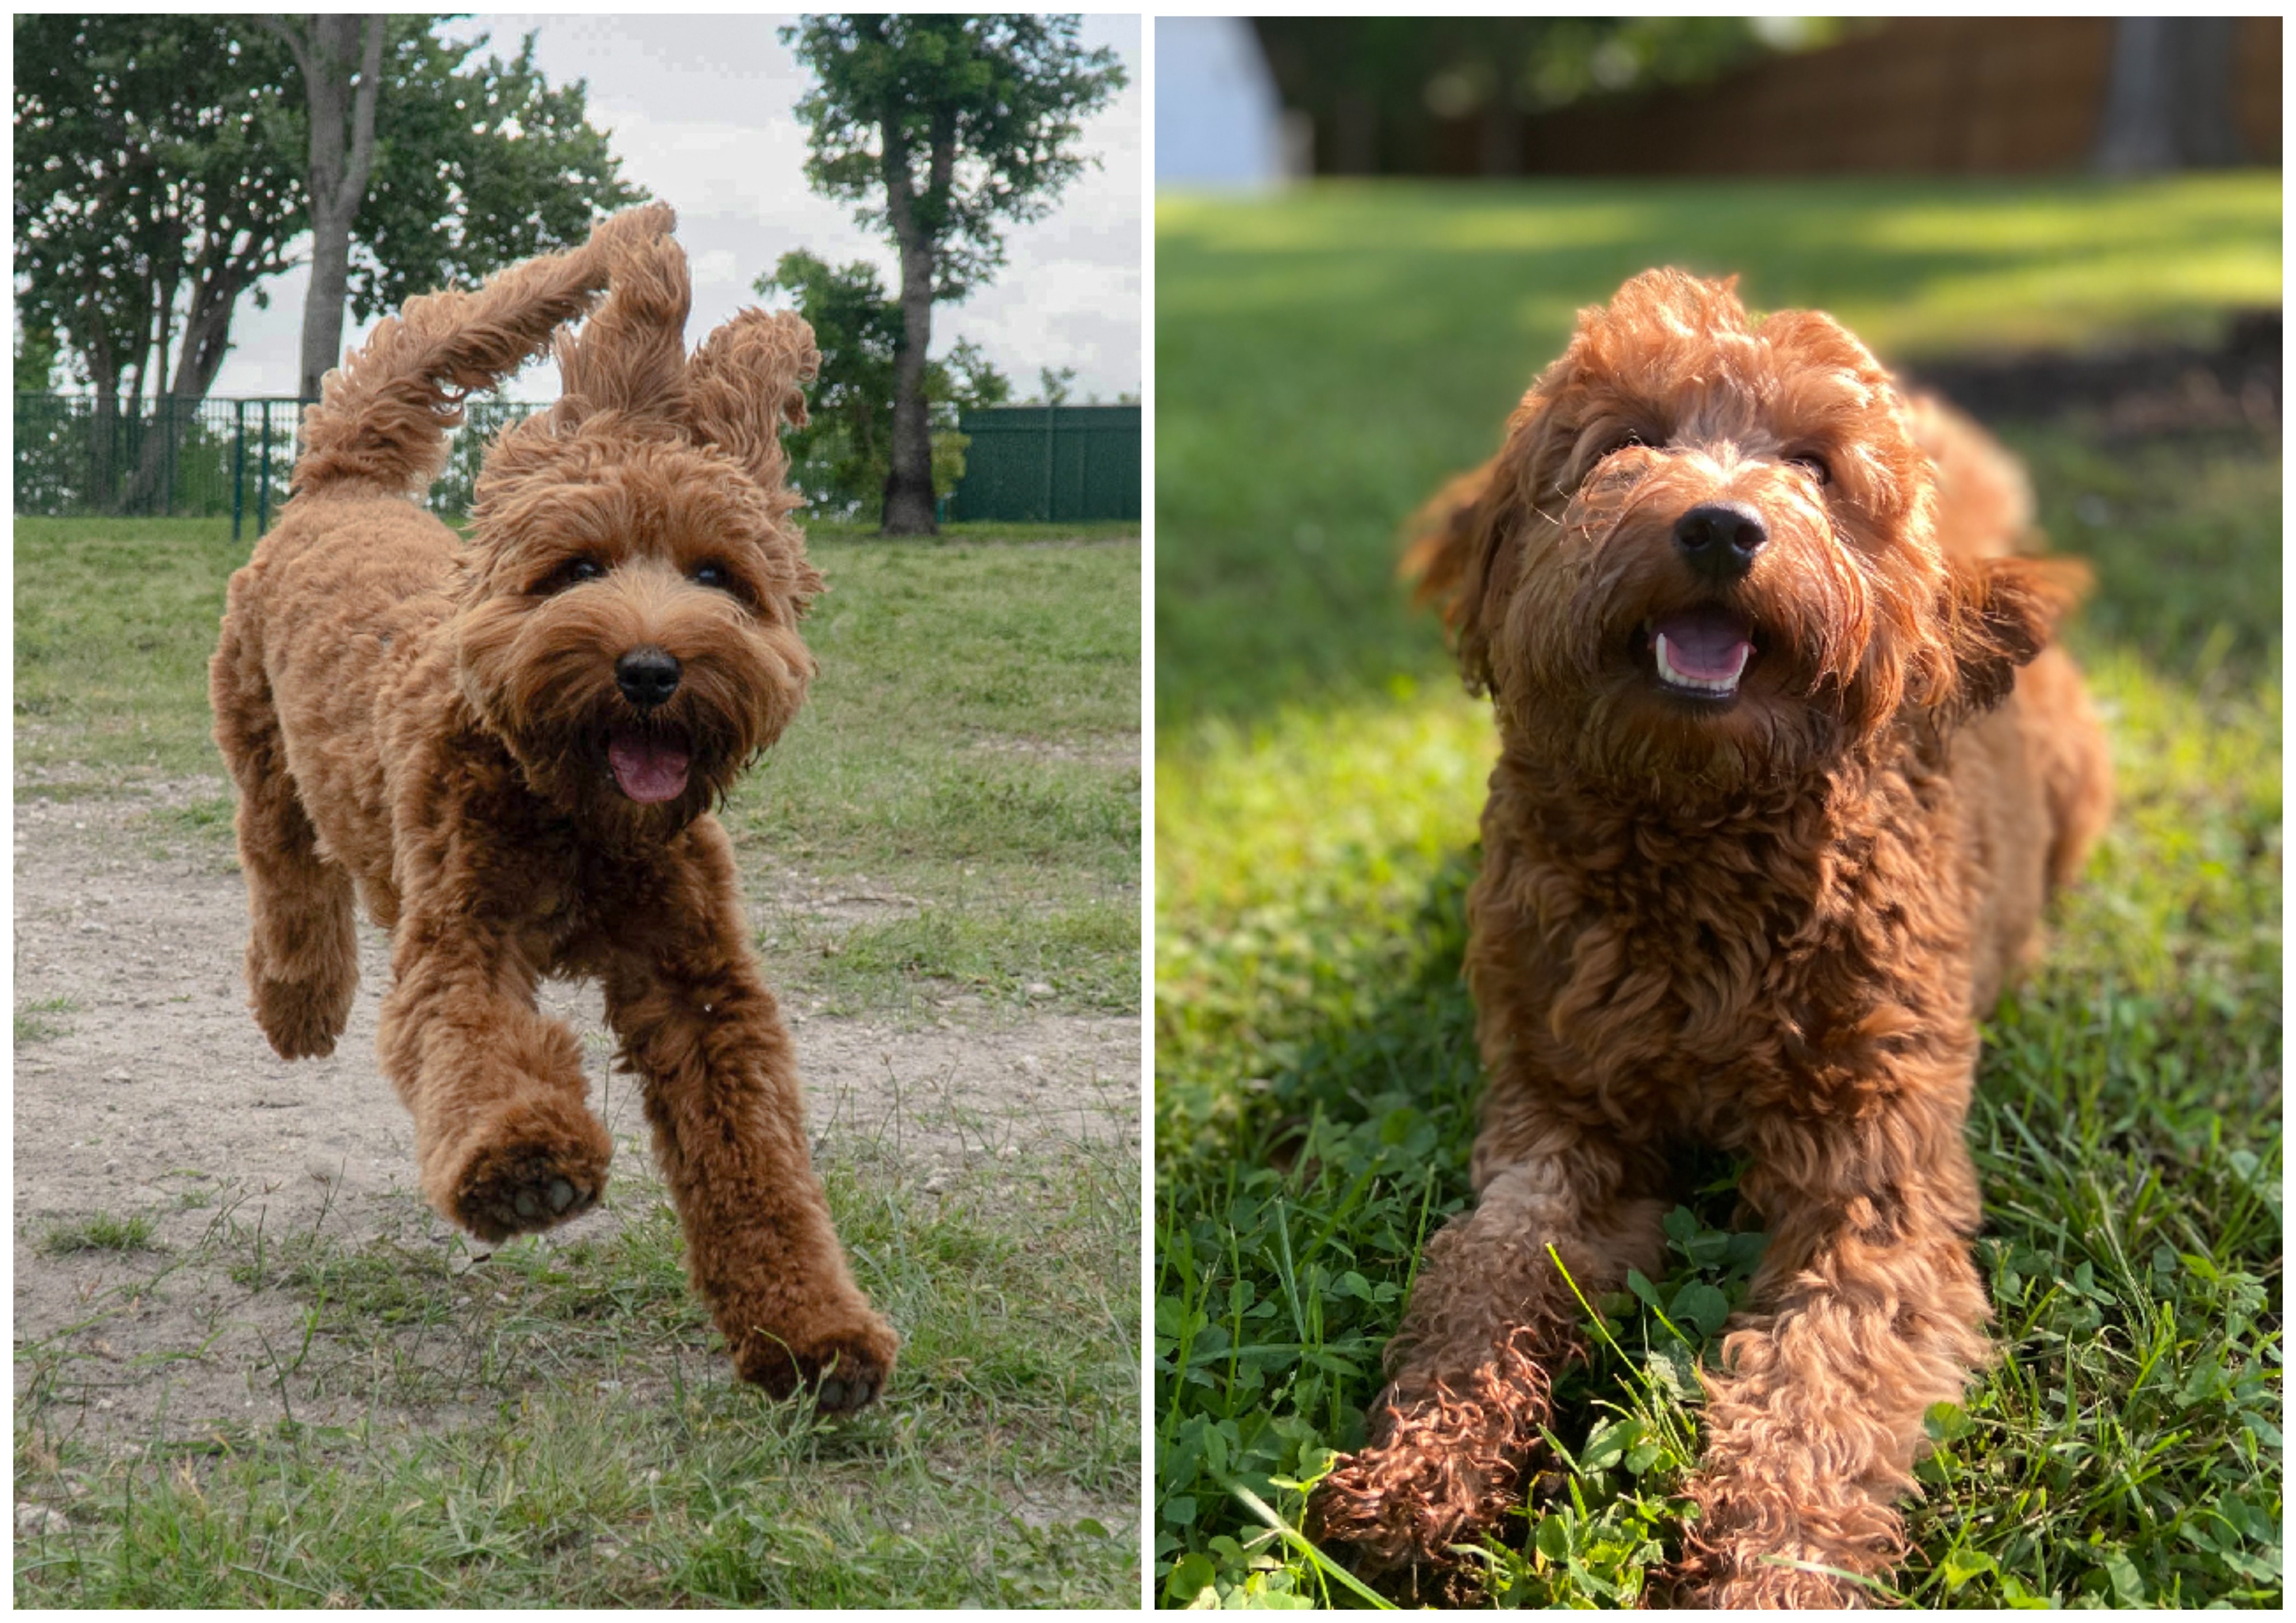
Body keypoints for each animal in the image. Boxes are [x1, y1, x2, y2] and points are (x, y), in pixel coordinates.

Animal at [211, 206, 895, 1404]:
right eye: (577, 567)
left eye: (717, 577)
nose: (652, 669)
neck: (578, 817)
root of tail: (347, 488)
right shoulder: (460, 940)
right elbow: (476, 1047)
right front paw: (523, 1167)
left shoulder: (701, 983)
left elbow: (755, 1156)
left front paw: (813, 1331)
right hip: (261, 742)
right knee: (284, 869)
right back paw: (298, 1002)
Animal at [1313, 273, 2112, 1607]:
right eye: (1624, 441)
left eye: (1813, 464)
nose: (1722, 529)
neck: (1698, 846)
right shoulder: (1557, 1127)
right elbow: (1481, 1280)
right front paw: (1422, 1471)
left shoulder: (1871, 1188)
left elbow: (1819, 1388)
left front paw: (1766, 1567)